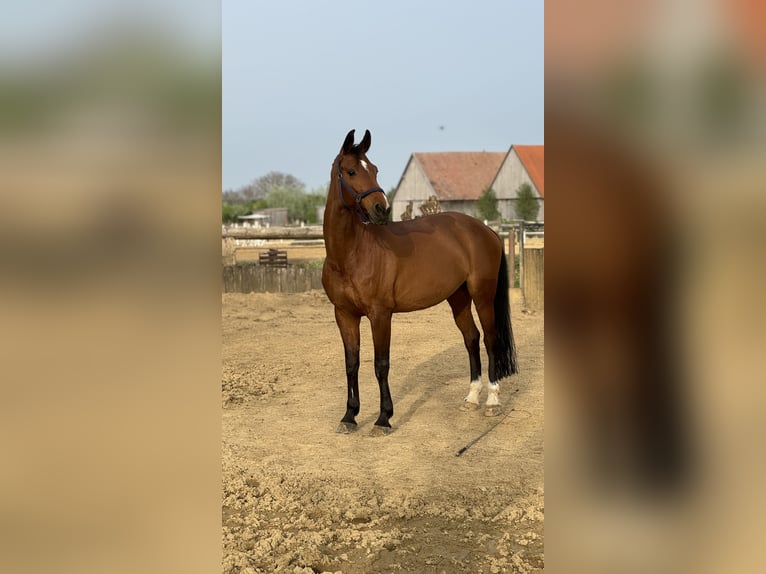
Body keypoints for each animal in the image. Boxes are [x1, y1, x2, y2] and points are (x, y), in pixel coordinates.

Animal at [322, 129, 518, 435]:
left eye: (374, 169)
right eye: (351, 171)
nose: (381, 209)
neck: (351, 253)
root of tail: (485, 230)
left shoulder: (380, 315)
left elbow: (381, 364)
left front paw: (383, 418)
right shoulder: (344, 314)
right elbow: (351, 363)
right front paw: (349, 416)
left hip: (482, 295)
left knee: (490, 339)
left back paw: (492, 402)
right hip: (458, 297)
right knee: (471, 338)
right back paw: (472, 398)